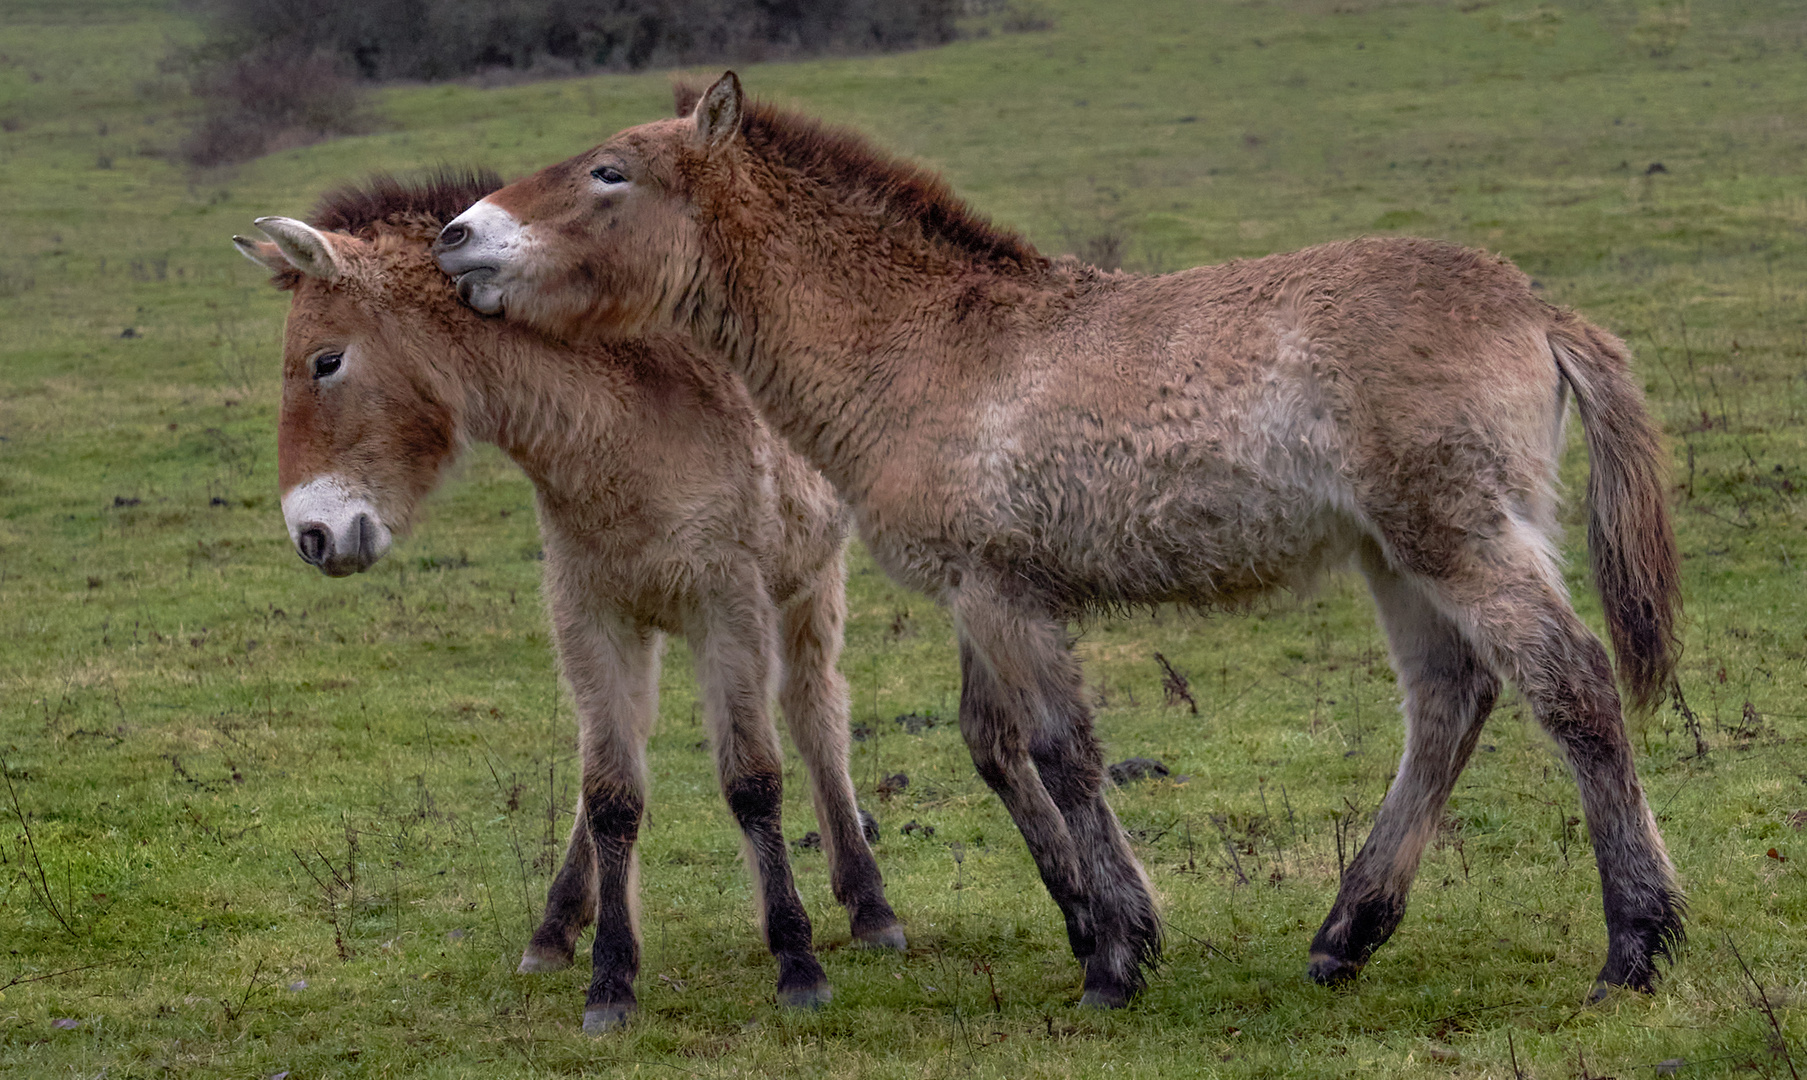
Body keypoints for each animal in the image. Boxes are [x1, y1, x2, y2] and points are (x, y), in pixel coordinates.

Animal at [236, 173, 903, 1040]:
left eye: (326, 360)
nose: (311, 536)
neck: (625, 430)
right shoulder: (588, 617)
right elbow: (611, 792)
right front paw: (610, 977)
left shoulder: (729, 609)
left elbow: (753, 779)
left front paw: (797, 961)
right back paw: (555, 926)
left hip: (809, 590)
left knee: (817, 714)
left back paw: (870, 906)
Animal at [430, 74, 1684, 1004]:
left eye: (610, 172)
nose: (457, 237)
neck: (928, 348)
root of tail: (1535, 308)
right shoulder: (985, 593)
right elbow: (999, 747)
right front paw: (1095, 927)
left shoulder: (1001, 598)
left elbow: (1059, 751)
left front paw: (1119, 957)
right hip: (1395, 555)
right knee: (1448, 701)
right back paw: (1345, 934)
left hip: (1456, 538)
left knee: (1569, 684)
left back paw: (1634, 948)